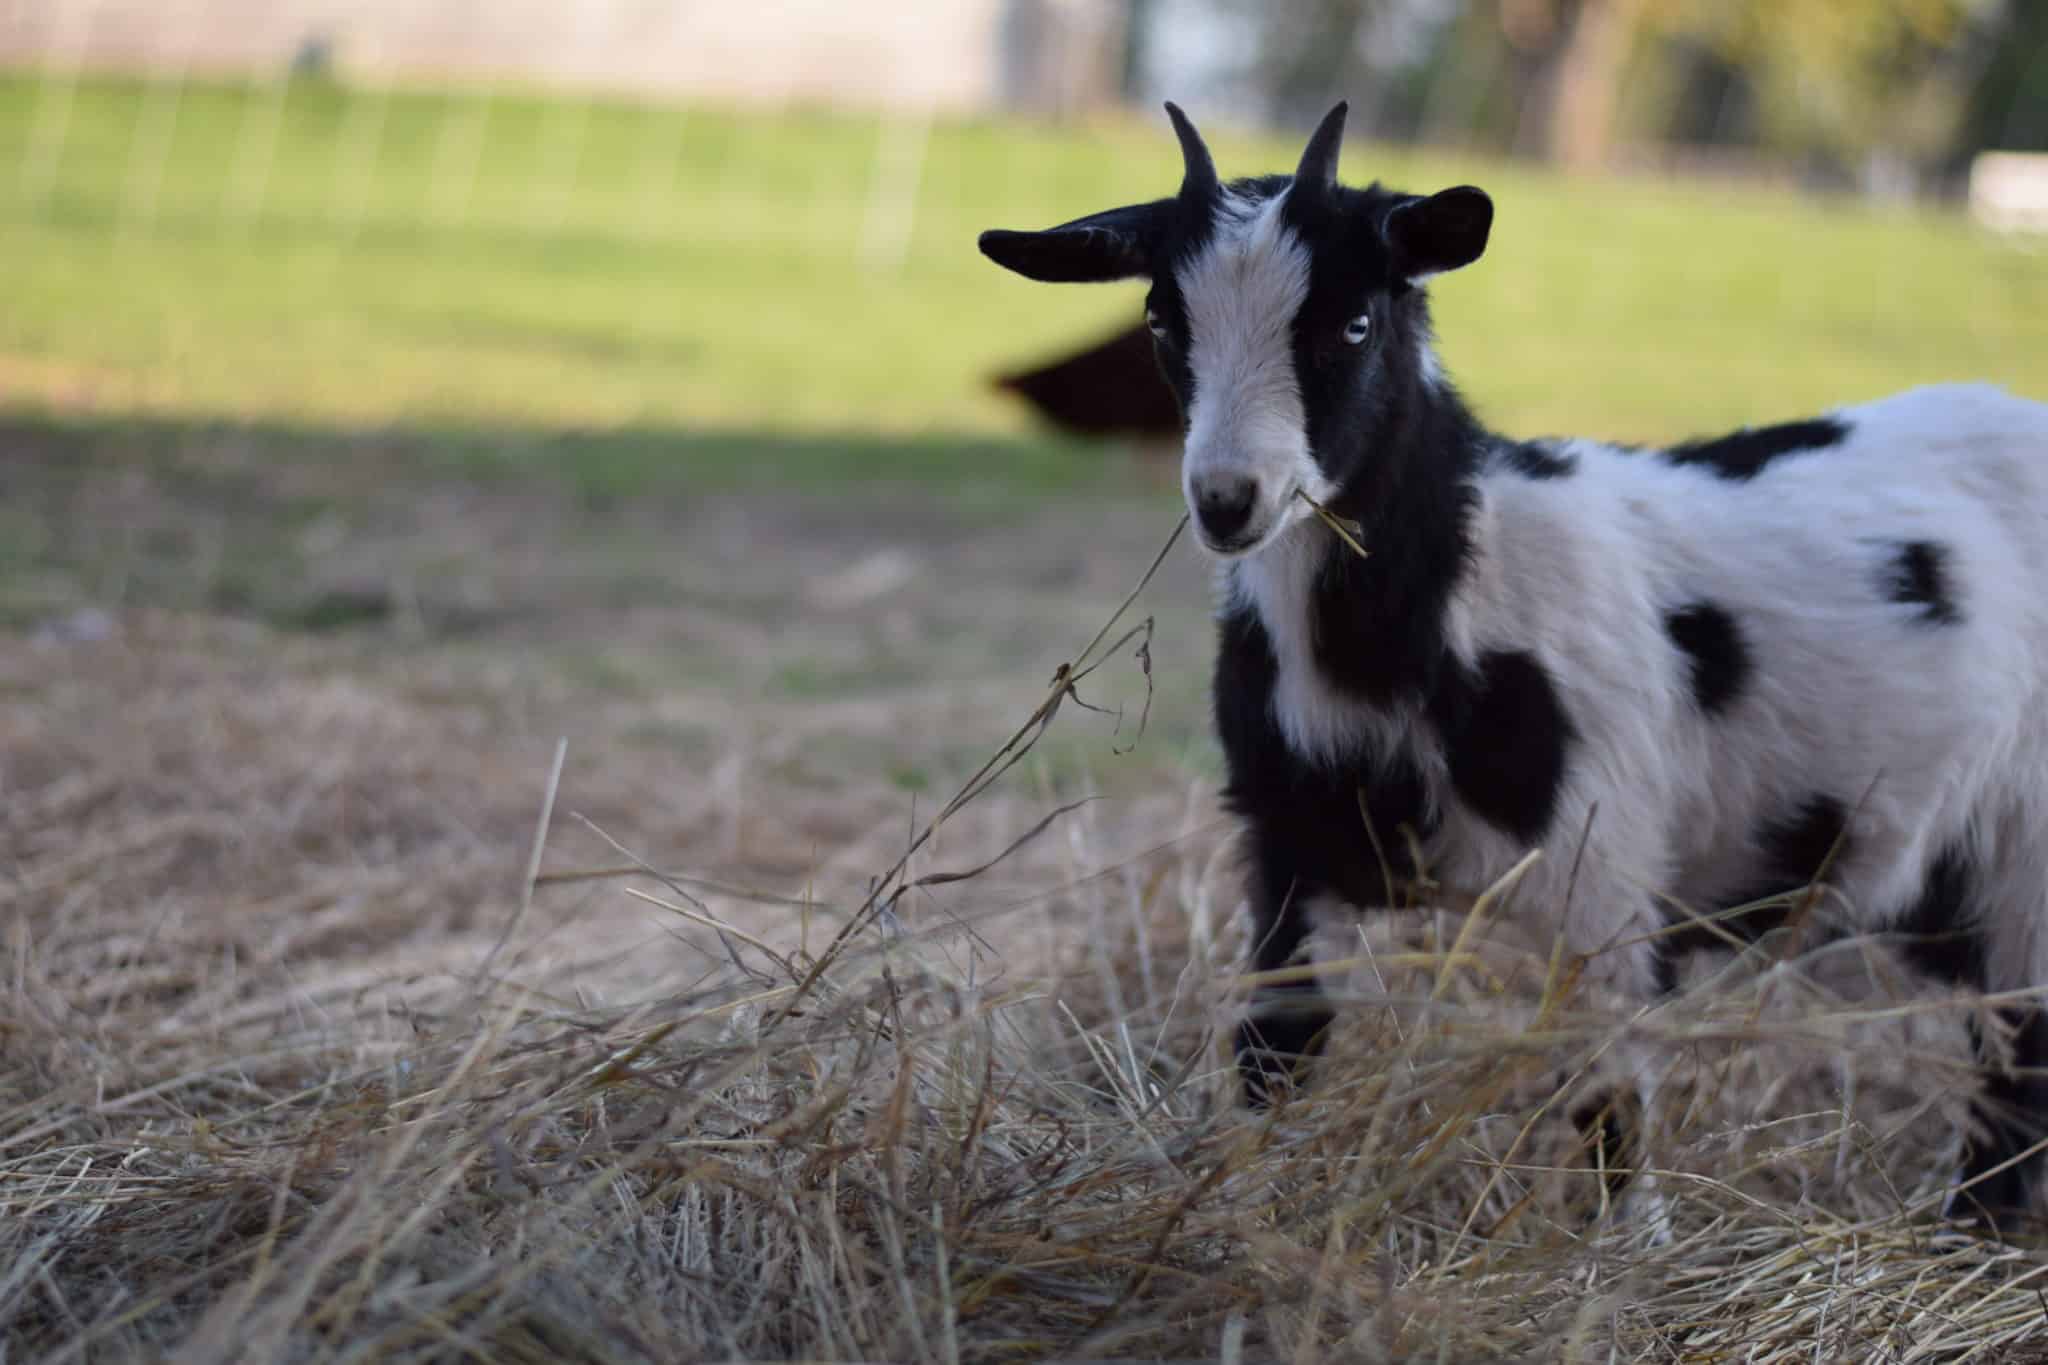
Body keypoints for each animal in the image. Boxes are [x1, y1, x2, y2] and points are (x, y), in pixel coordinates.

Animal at [987, 101, 2048, 1236]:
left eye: (1355, 324)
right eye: (1159, 323)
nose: (1230, 499)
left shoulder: (1604, 873)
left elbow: (1609, 1107)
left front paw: (1625, 1258)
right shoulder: (1288, 845)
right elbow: (1276, 1052)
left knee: (2016, 1055)